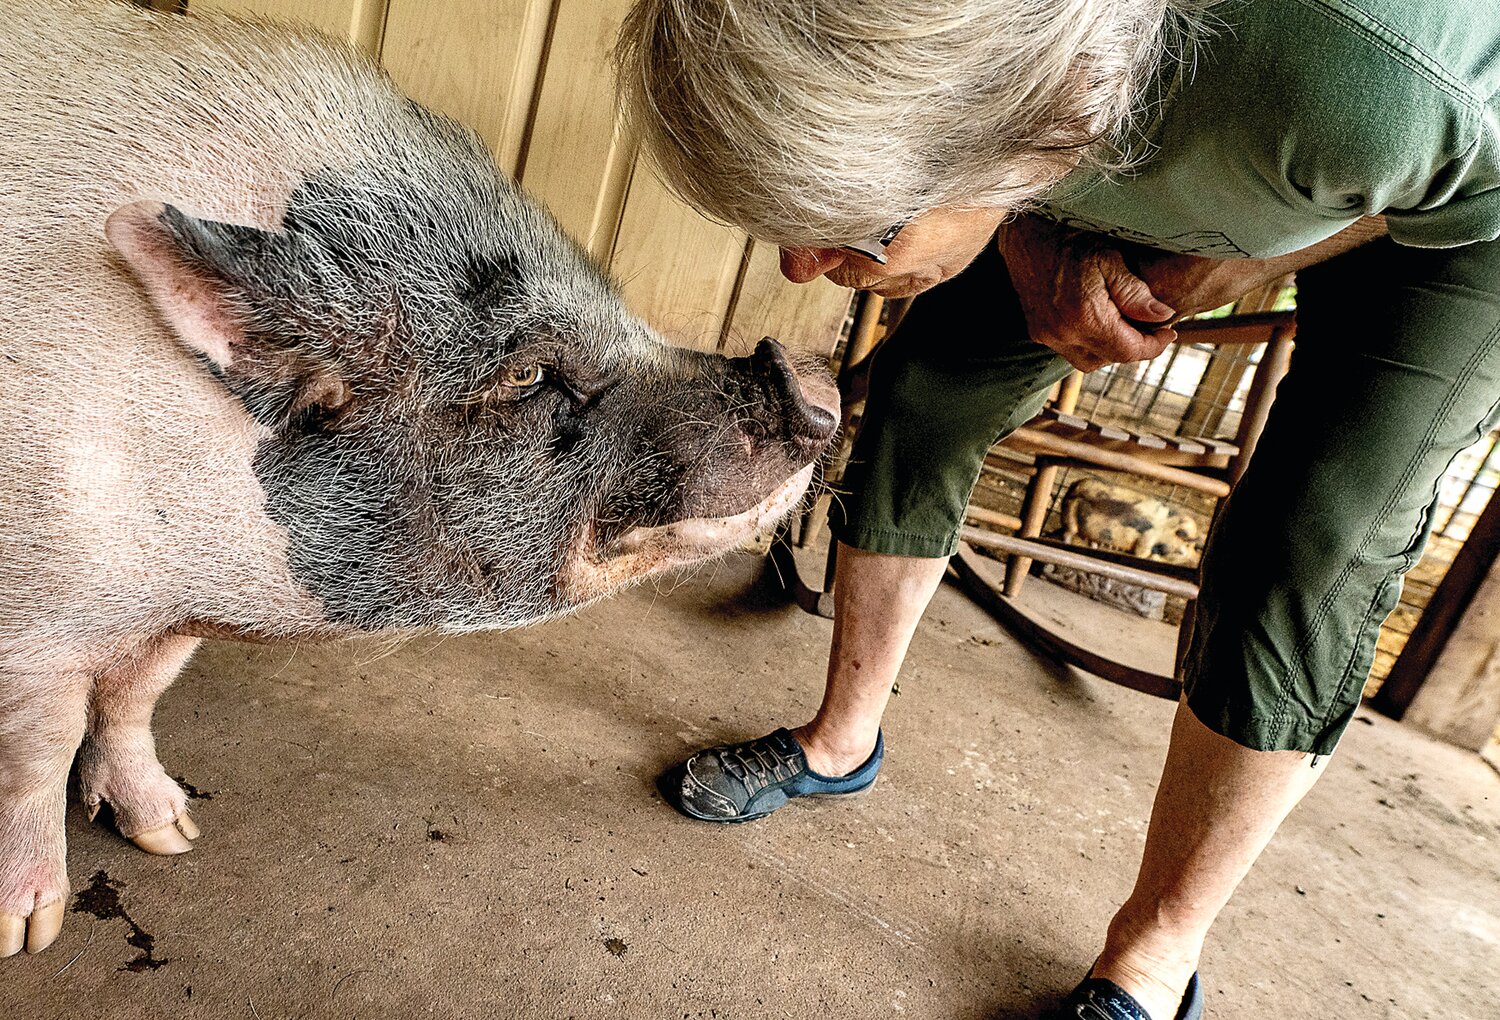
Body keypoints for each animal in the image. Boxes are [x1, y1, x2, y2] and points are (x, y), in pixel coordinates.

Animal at [0, 0, 846, 954]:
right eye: (529, 374)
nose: (810, 377)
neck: (174, 574)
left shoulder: (175, 609)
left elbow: (136, 694)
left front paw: (174, 835)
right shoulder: (32, 621)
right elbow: (39, 749)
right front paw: (30, 935)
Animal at [1056, 477, 1206, 567]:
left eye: (1194, 547)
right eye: (1187, 546)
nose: (1198, 557)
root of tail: (1074, 485)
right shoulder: (1146, 540)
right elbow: (1142, 554)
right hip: (1071, 513)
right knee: (1068, 532)